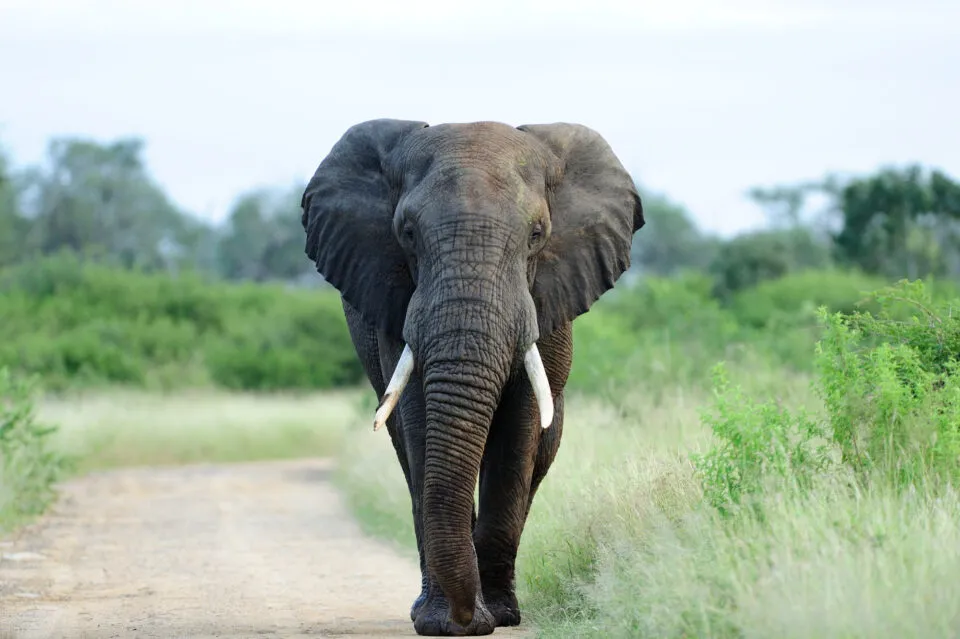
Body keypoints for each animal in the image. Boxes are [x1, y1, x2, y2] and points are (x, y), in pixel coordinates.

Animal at [300, 119, 644, 636]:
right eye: (406, 233)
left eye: (537, 234)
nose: (467, 620)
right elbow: (419, 419)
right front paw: (446, 623)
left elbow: (519, 430)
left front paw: (497, 616)